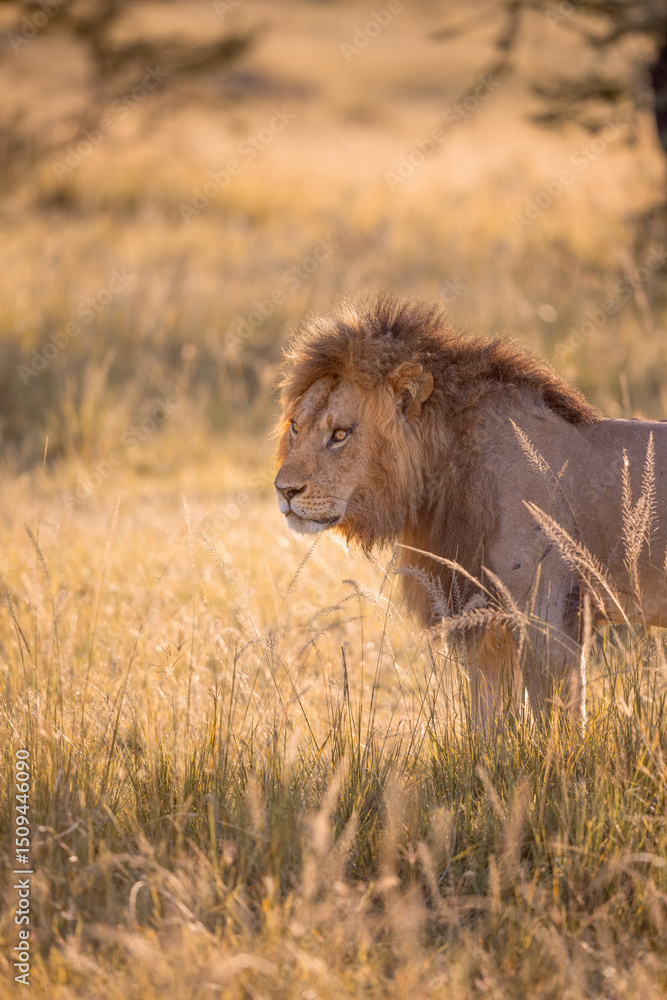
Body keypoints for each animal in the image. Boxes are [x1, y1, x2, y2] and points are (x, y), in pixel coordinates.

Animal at [274, 295, 667, 725]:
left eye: (340, 434)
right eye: (295, 426)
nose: (284, 490)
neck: (442, 477)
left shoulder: (550, 621)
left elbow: (558, 726)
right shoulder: (485, 625)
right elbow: (486, 724)